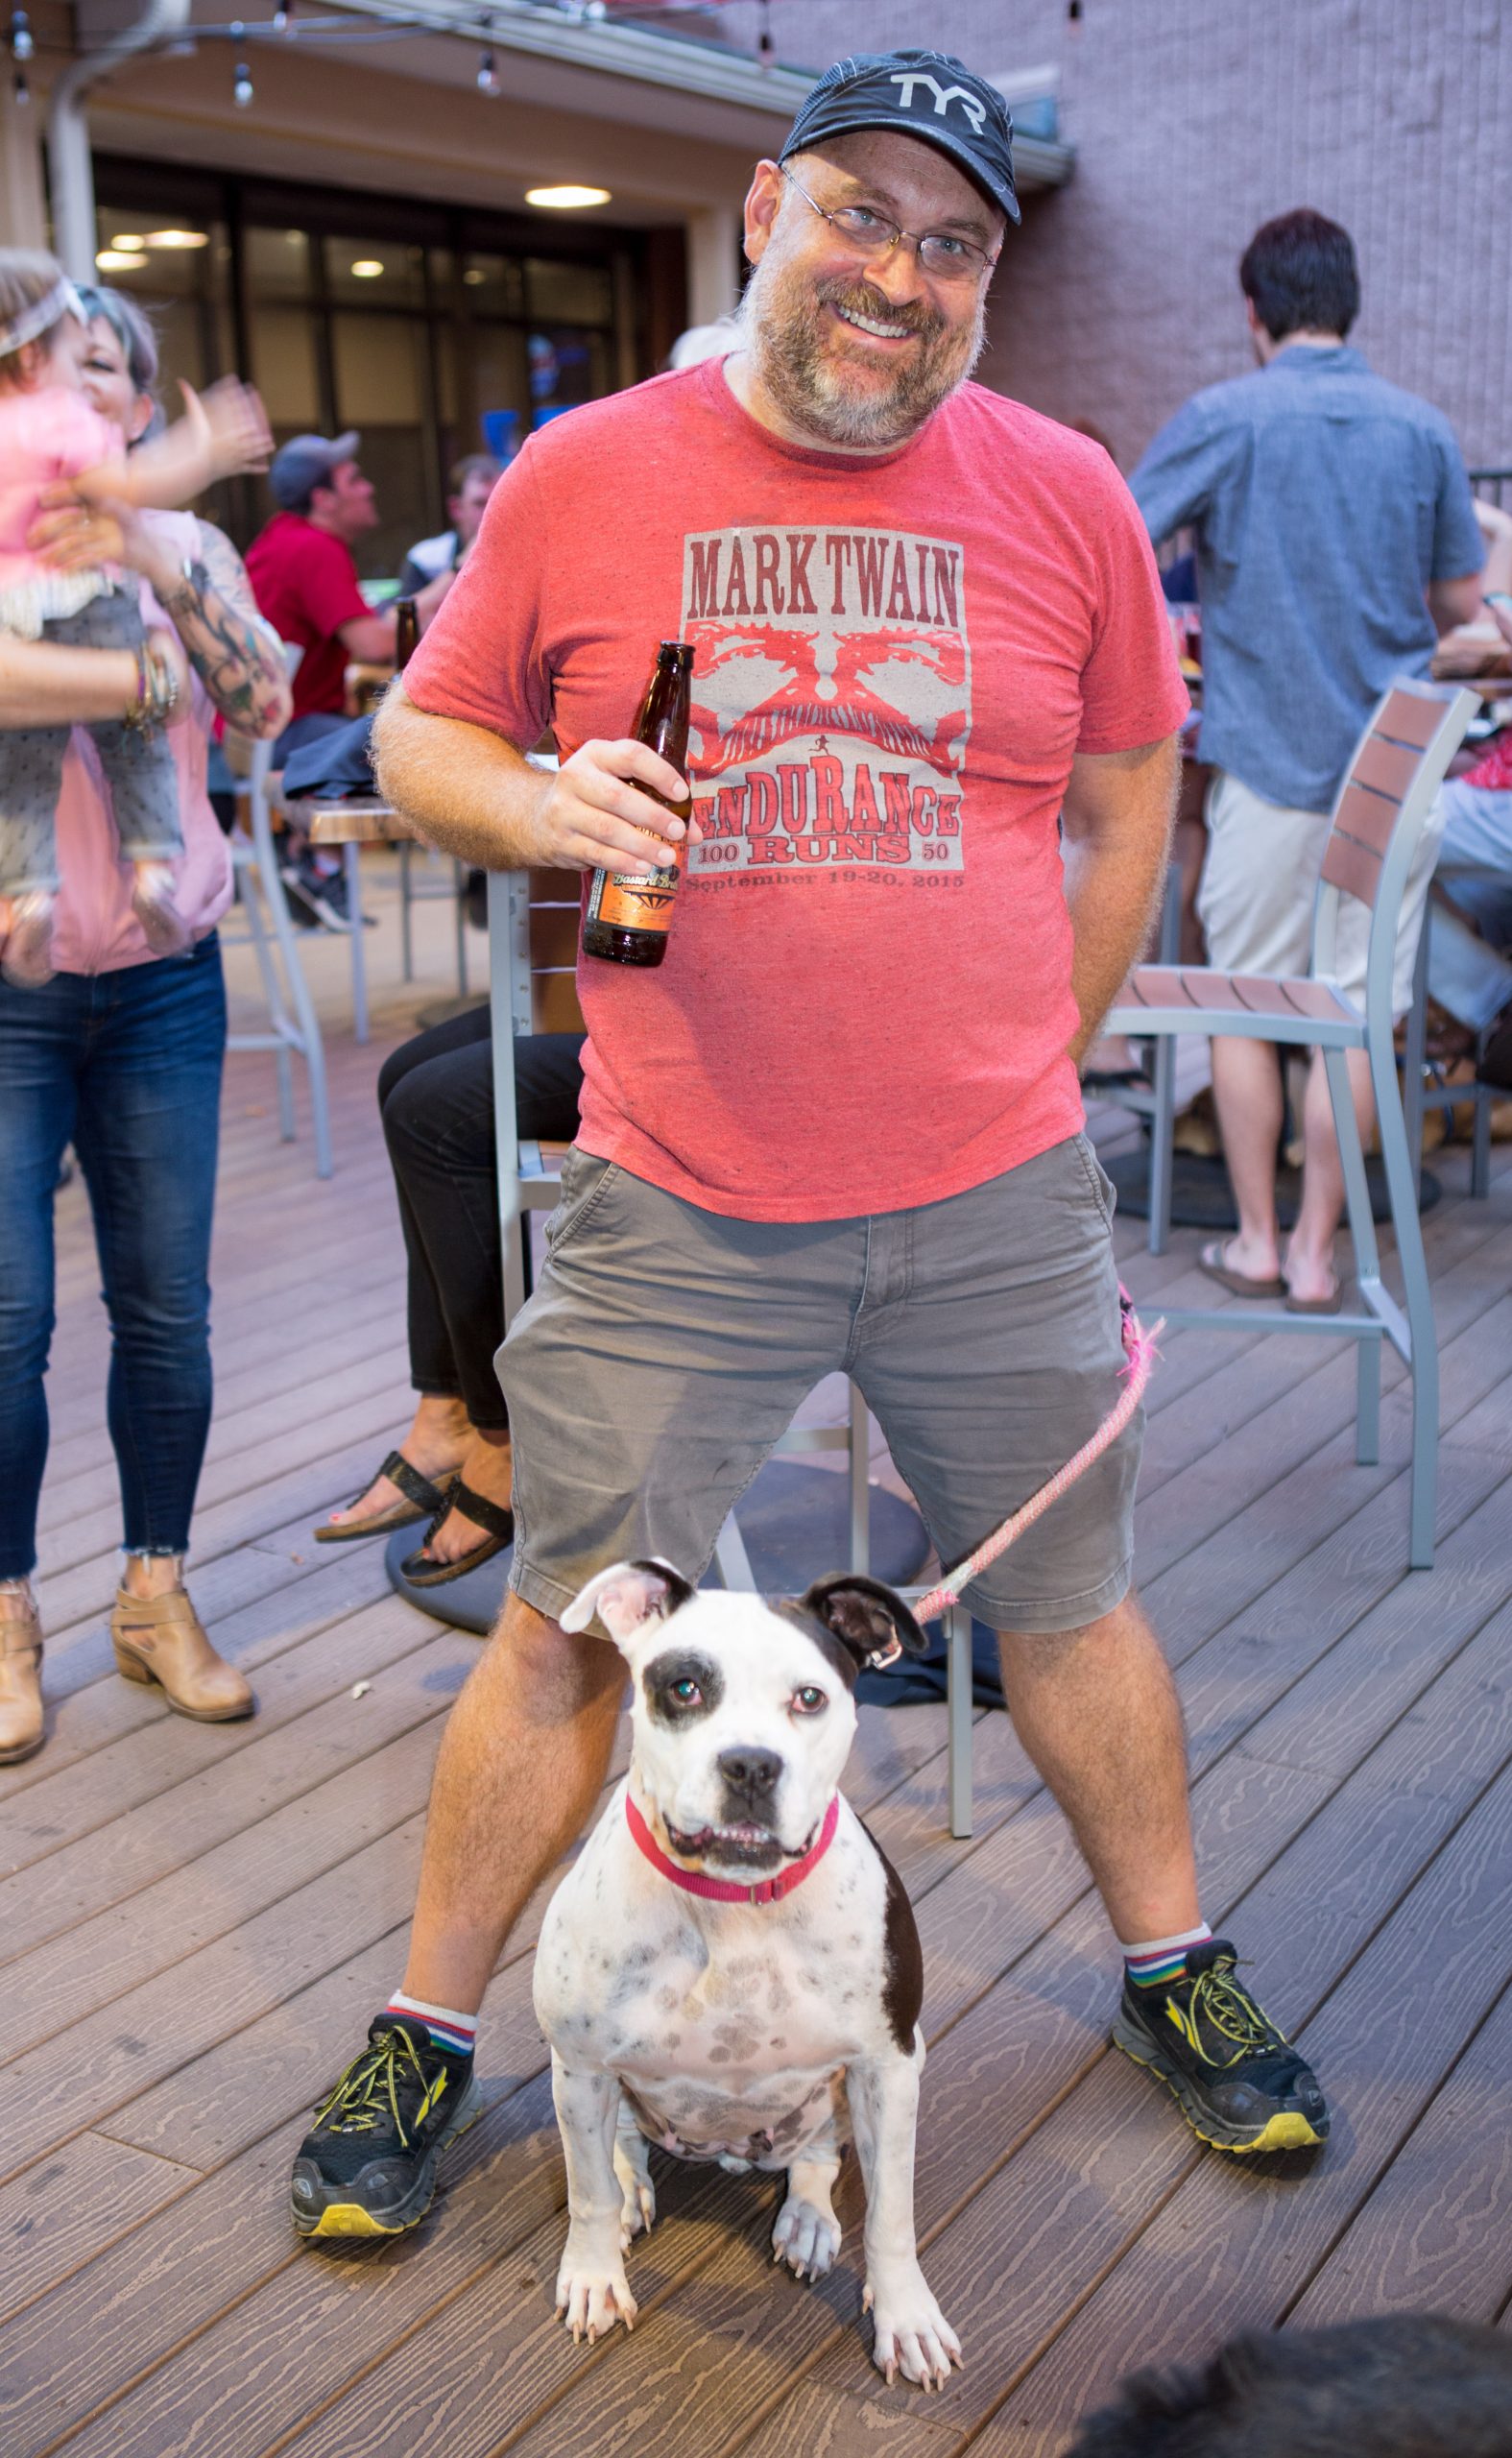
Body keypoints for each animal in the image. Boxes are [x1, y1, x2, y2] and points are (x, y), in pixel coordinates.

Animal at [533, 1557, 962, 2391]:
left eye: (809, 1698)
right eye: (684, 1687)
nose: (751, 1764)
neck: (730, 1905)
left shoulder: (889, 2066)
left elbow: (891, 2215)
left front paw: (906, 2317)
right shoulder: (583, 2065)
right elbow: (587, 2193)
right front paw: (594, 2277)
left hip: (845, 2089)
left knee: (817, 2156)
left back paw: (807, 2222)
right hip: (594, 2089)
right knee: (616, 2151)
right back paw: (634, 2188)